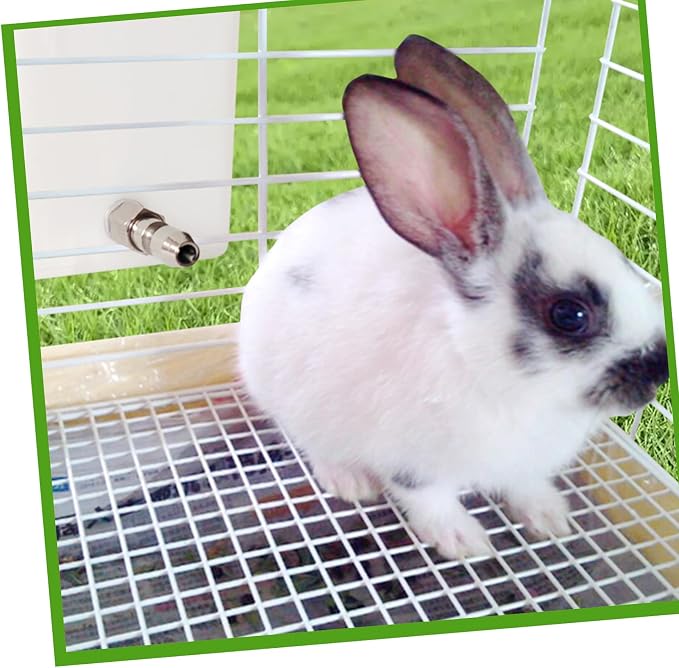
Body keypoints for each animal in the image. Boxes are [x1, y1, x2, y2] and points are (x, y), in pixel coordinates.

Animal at [238, 34, 668, 559]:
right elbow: (430, 500)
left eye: (625, 264)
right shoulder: (412, 463)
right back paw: (350, 481)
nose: (659, 371)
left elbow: (523, 485)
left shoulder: (520, 464)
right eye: (570, 314)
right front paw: (463, 541)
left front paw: (550, 518)